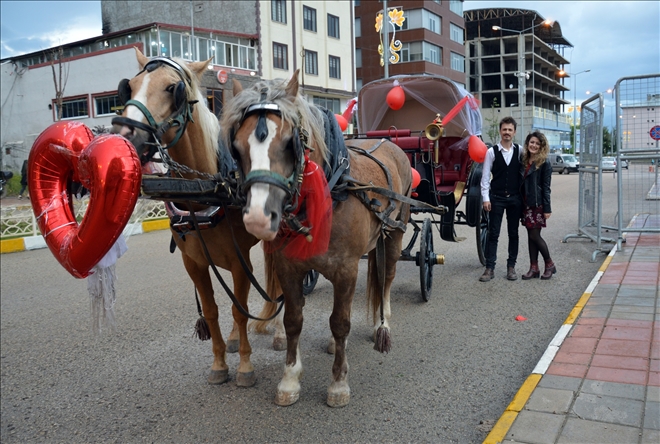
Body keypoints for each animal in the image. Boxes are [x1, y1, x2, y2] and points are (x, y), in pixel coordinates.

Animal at [112, 47, 282, 388]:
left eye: (172, 88)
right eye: (130, 86)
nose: (124, 133)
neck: (207, 189)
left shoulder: (240, 259)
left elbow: (240, 308)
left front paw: (245, 368)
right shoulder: (194, 262)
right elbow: (214, 310)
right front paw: (220, 363)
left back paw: (281, 335)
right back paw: (234, 339)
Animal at [224, 71, 416, 408]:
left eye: (289, 142)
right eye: (236, 145)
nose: (258, 218)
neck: (329, 189)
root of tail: (391, 143)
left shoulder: (346, 268)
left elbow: (340, 322)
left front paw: (338, 384)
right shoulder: (289, 267)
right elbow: (293, 321)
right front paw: (289, 379)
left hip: (395, 232)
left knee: (387, 276)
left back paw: (382, 323)